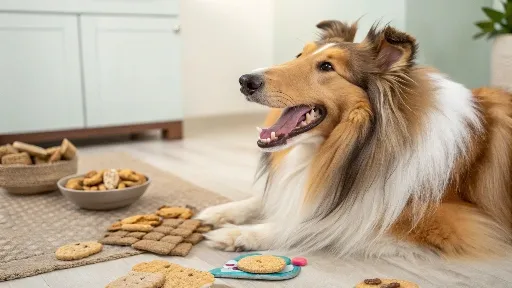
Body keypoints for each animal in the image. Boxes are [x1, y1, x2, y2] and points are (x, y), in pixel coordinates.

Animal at [195, 20, 512, 258]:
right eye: (300, 55)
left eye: (326, 67)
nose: (245, 81)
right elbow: (270, 198)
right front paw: (219, 212)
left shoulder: (451, 221)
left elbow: (321, 223)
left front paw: (241, 233)